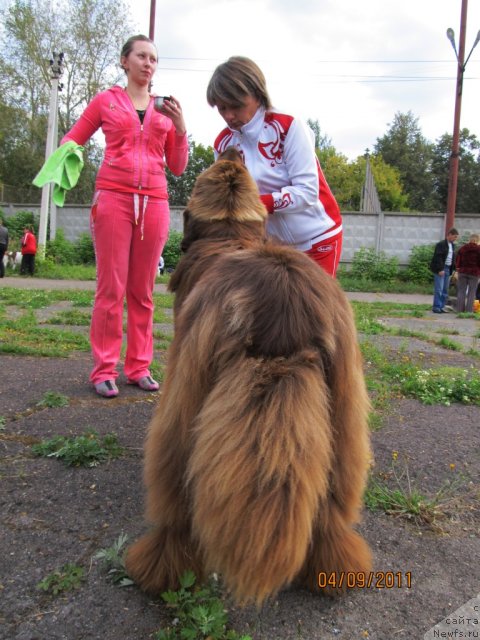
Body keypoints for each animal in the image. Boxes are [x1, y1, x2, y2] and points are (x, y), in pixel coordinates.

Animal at [124, 154, 372, 604]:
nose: (233, 152)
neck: (230, 233)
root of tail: (284, 302)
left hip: (184, 397)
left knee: (175, 500)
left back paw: (159, 569)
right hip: (346, 411)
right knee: (333, 504)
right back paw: (335, 567)